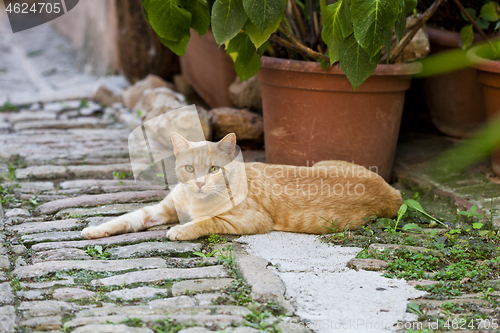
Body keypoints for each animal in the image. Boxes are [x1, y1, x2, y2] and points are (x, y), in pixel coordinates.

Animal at [82, 131, 402, 240]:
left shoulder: (253, 220)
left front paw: (181, 230)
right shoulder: (163, 209)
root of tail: (393, 192)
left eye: (213, 169)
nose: (200, 182)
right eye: (189, 168)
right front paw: (96, 229)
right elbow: (128, 217)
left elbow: (207, 221)